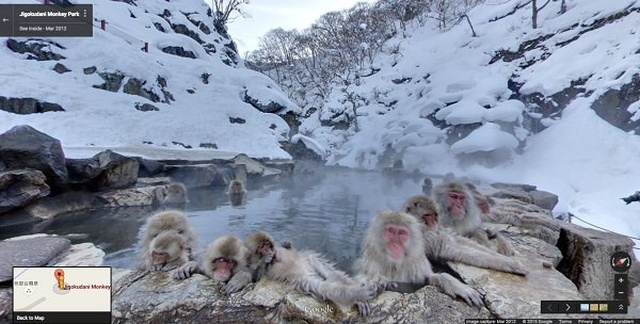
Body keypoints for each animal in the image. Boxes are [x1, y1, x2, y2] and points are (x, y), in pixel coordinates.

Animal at [244, 230, 376, 314]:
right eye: (261, 247)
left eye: (267, 244)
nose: (268, 251)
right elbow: (256, 277)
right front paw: (264, 261)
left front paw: (287, 245)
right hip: (306, 279)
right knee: (325, 286)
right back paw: (359, 294)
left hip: (310, 263)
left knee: (327, 270)